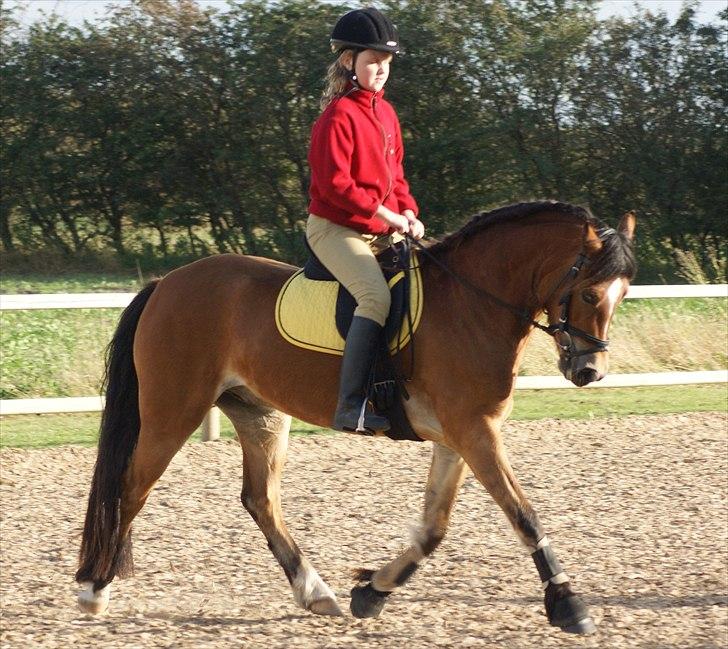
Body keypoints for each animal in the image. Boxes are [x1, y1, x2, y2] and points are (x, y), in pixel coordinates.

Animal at [75, 201, 636, 635]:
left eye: (623, 294)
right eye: (590, 292)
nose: (589, 371)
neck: (472, 304)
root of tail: (167, 282)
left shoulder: (461, 435)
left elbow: (434, 528)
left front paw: (373, 591)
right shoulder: (475, 432)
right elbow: (523, 514)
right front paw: (568, 603)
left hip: (260, 415)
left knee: (260, 499)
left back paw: (315, 591)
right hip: (173, 411)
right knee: (131, 488)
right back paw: (95, 588)